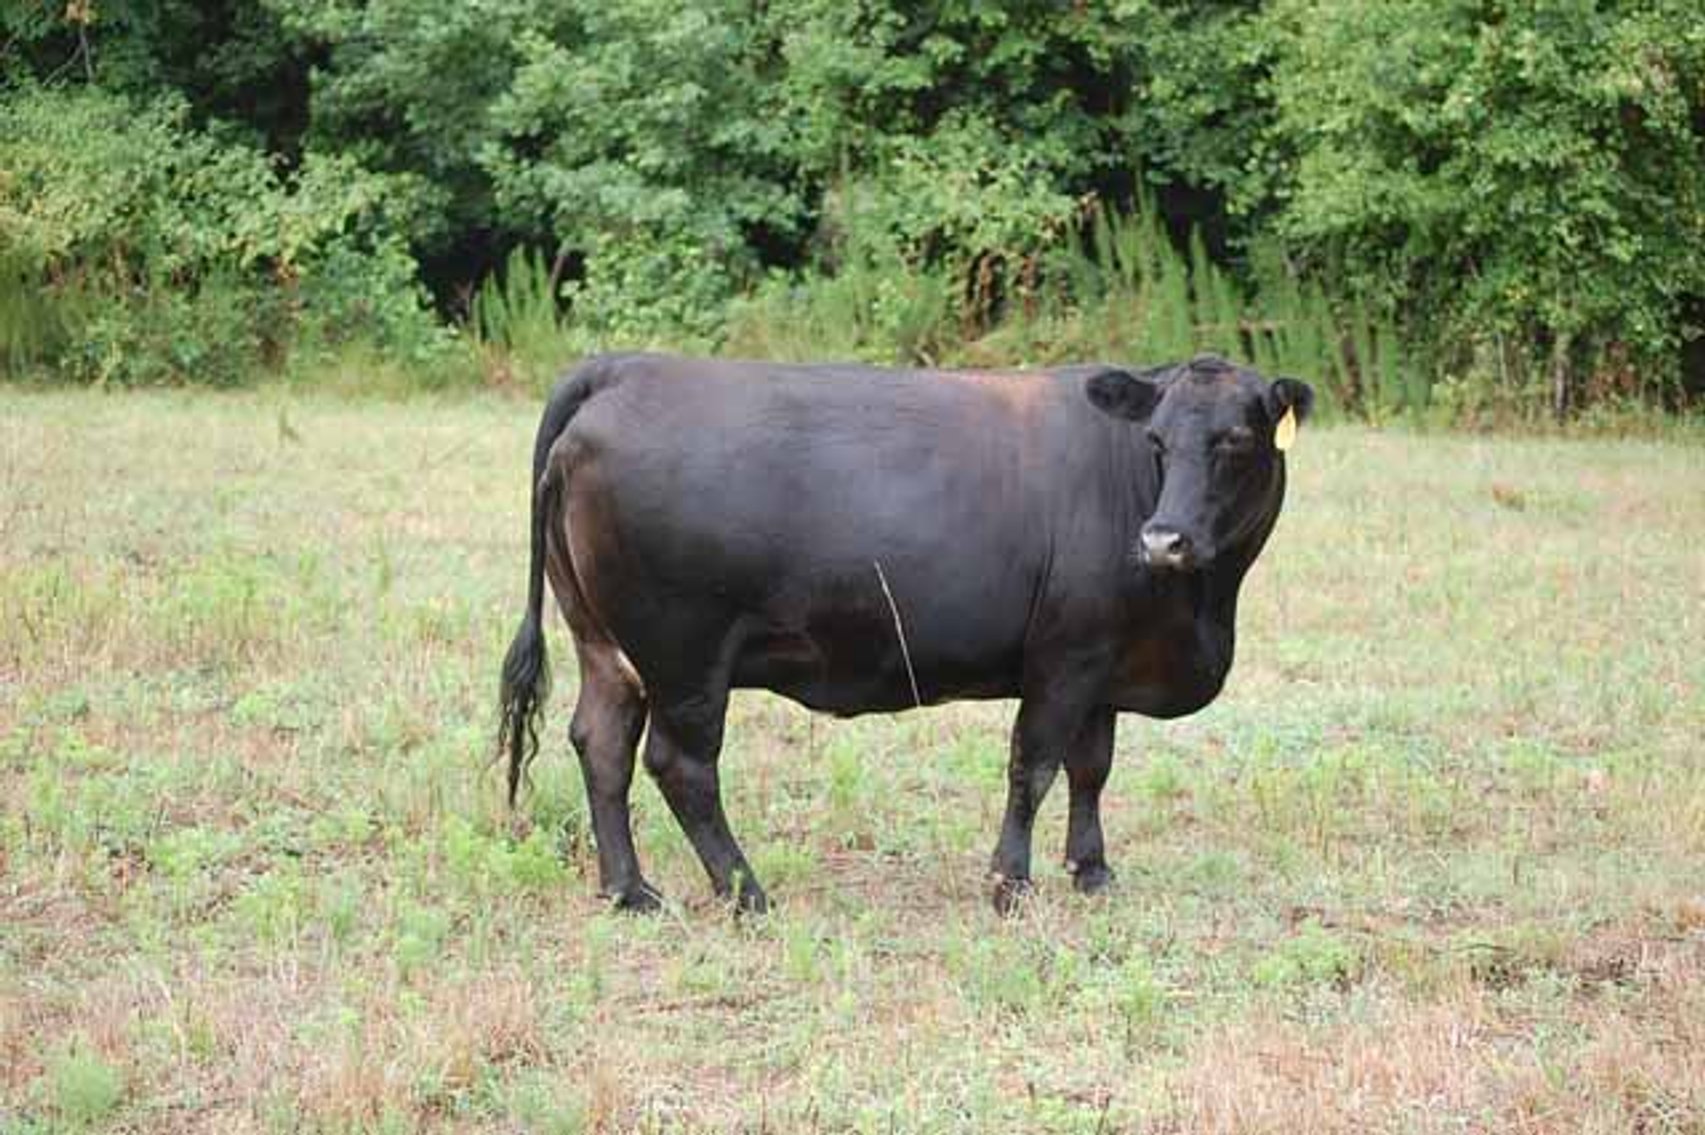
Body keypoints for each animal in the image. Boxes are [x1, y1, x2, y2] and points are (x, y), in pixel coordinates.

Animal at [496, 352, 1312, 914]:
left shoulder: (1104, 664)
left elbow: (1091, 769)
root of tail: (626, 366)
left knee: (602, 743)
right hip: (684, 655)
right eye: (1156, 440)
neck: (1199, 608)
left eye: (1235, 440)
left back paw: (630, 892)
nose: (1162, 540)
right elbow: (1035, 765)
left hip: (607, 646)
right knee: (680, 766)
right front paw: (1010, 882)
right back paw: (746, 891)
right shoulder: (1063, 658)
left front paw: (1092, 871)